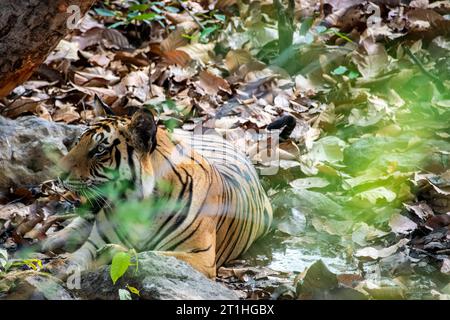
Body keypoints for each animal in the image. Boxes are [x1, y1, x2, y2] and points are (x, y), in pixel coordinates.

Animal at [44, 108, 272, 278]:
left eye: (100, 149)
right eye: (78, 142)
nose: (57, 173)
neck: (138, 206)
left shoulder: (201, 258)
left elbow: (152, 254)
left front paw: (115, 251)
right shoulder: (92, 244)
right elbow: (71, 262)